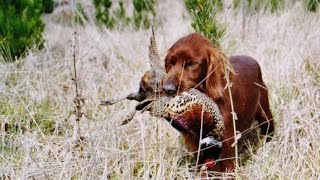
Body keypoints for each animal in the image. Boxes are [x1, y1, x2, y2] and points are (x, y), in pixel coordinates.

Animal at [162, 33, 276, 172]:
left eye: (192, 63)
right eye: (171, 63)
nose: (167, 89)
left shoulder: (226, 140)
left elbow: (226, 165)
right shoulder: (195, 142)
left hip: (264, 114)